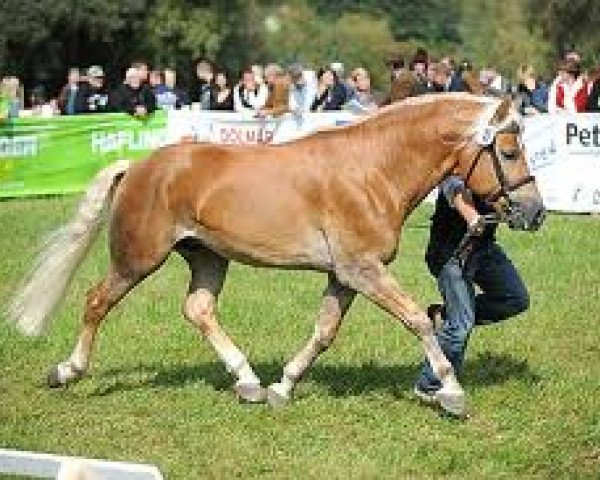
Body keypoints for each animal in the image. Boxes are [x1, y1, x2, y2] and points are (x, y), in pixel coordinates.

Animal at [7, 93, 548, 416]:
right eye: (510, 151)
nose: (535, 212)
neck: (372, 170)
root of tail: (139, 166)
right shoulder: (363, 270)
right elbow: (418, 319)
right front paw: (452, 392)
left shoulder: (344, 276)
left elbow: (324, 333)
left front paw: (281, 388)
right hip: (137, 258)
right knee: (96, 301)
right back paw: (67, 371)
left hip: (207, 256)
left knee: (198, 309)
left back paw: (247, 382)